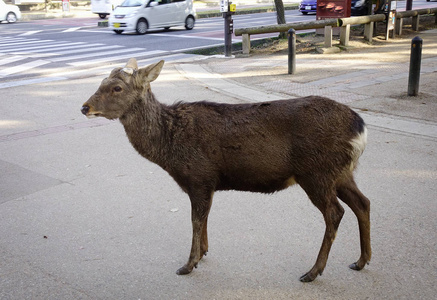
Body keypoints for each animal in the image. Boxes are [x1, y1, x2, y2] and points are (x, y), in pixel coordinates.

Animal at [80, 58, 370, 282]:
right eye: (101, 82)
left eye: (116, 87)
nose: (85, 107)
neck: (169, 148)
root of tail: (360, 127)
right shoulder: (207, 182)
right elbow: (205, 217)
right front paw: (203, 253)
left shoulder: (199, 176)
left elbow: (196, 220)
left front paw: (188, 264)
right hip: (341, 172)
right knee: (363, 202)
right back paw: (361, 260)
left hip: (316, 172)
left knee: (335, 212)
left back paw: (313, 271)